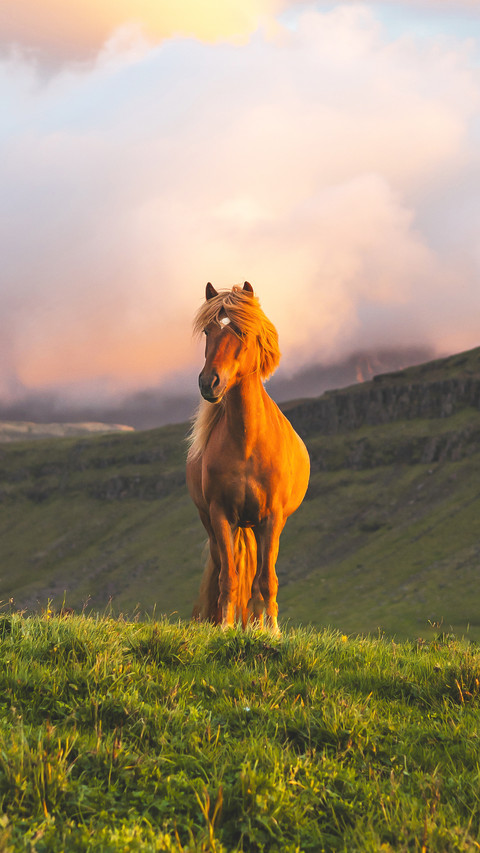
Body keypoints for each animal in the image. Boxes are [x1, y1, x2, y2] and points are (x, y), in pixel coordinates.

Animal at [186, 281, 310, 633]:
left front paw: (272, 631)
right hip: (216, 525)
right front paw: (226, 627)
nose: (209, 382)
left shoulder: (272, 519)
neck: (247, 444)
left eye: (241, 331)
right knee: (223, 570)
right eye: (208, 331)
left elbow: (266, 579)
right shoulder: (221, 515)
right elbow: (229, 577)